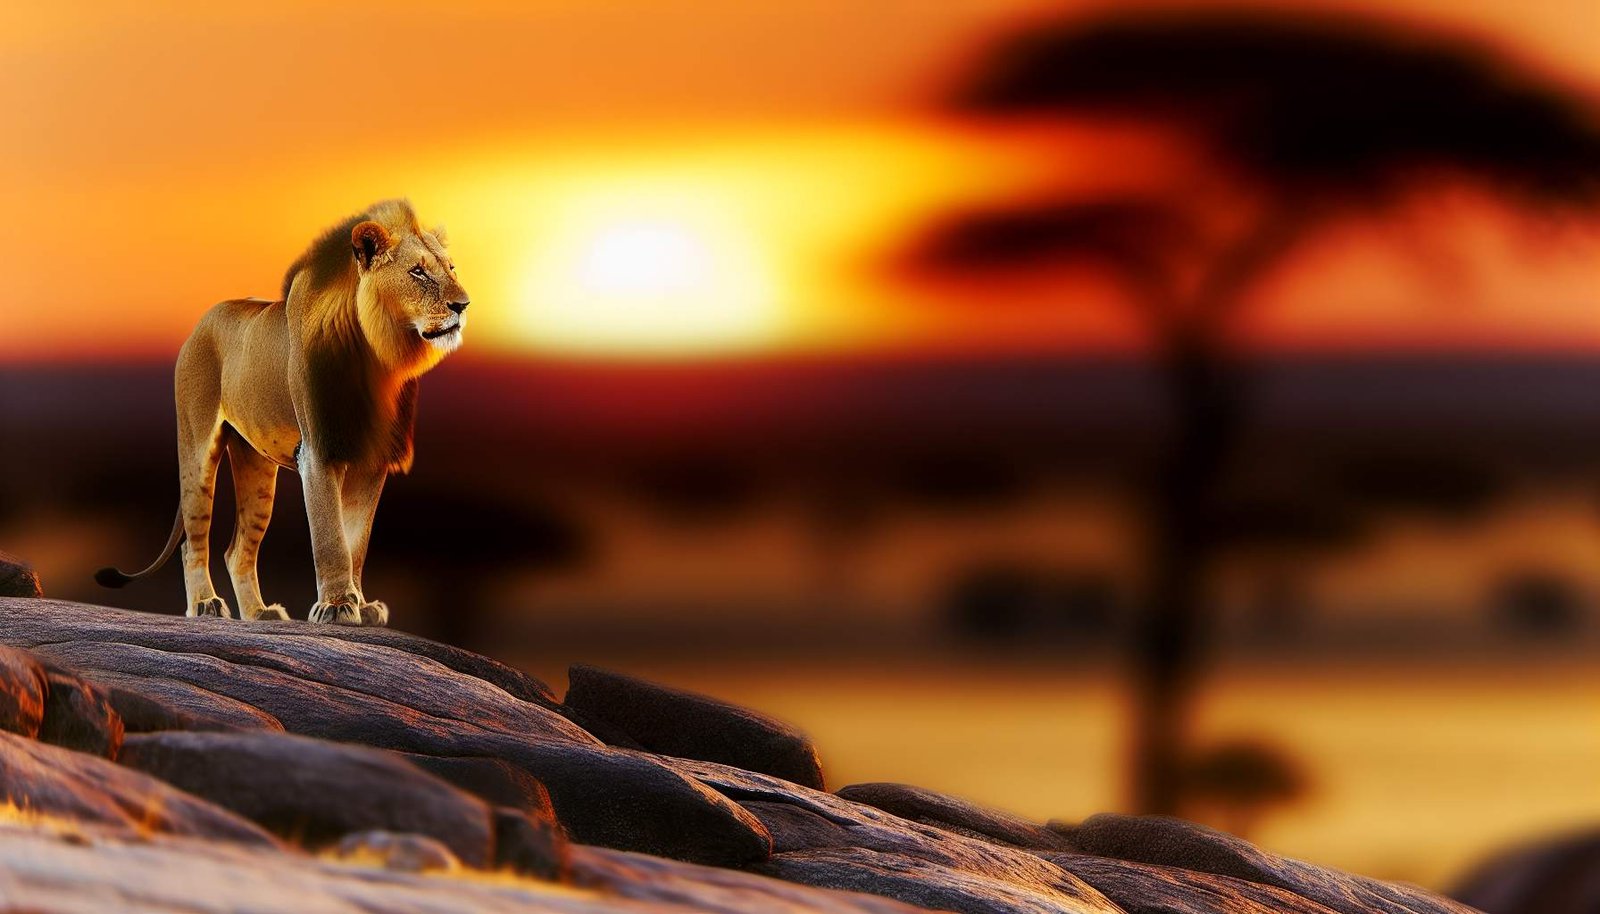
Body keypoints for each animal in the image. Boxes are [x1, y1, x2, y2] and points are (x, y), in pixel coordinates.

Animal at [96, 199, 469, 626]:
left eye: (451, 268)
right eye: (418, 271)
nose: (464, 304)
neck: (378, 359)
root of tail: (202, 322)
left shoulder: (372, 461)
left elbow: (355, 540)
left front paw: (360, 603)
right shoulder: (318, 453)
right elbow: (331, 537)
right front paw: (337, 606)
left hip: (257, 469)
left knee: (236, 551)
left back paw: (260, 613)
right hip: (196, 451)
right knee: (193, 540)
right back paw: (205, 605)